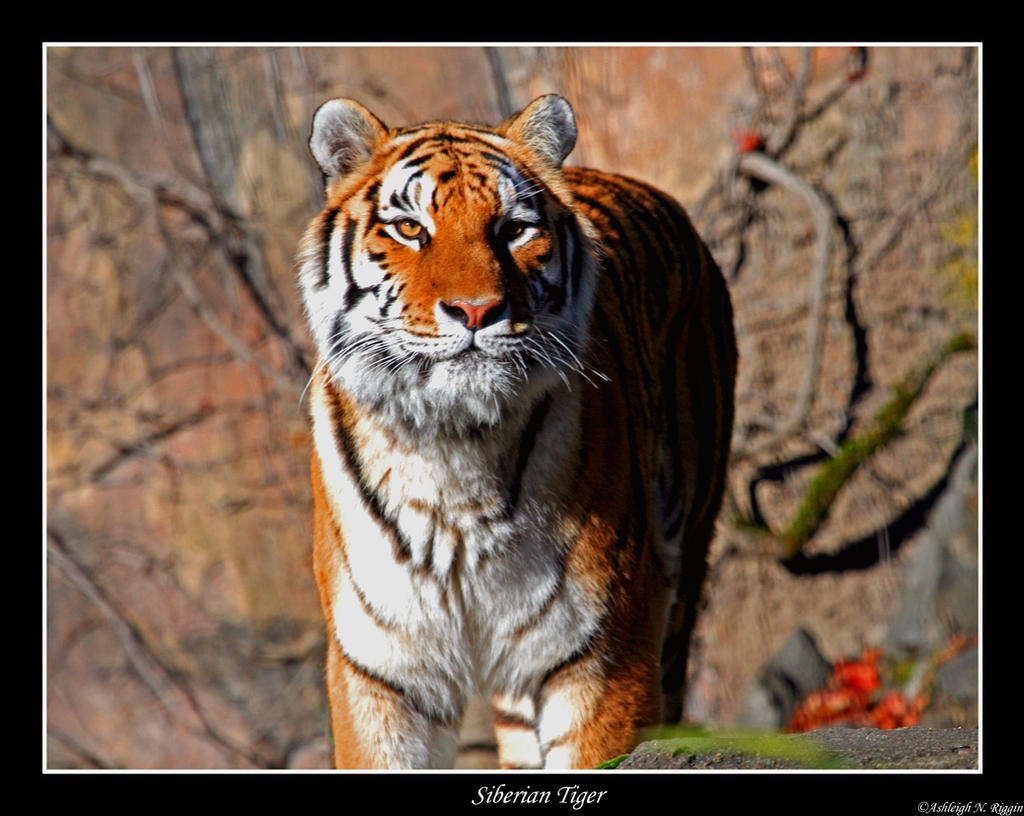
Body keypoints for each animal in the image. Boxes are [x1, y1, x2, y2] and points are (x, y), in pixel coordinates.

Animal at [295, 94, 737, 770]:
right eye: (410, 229)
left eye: (513, 230)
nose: (476, 310)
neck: (450, 447)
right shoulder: (381, 669)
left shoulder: (600, 652)